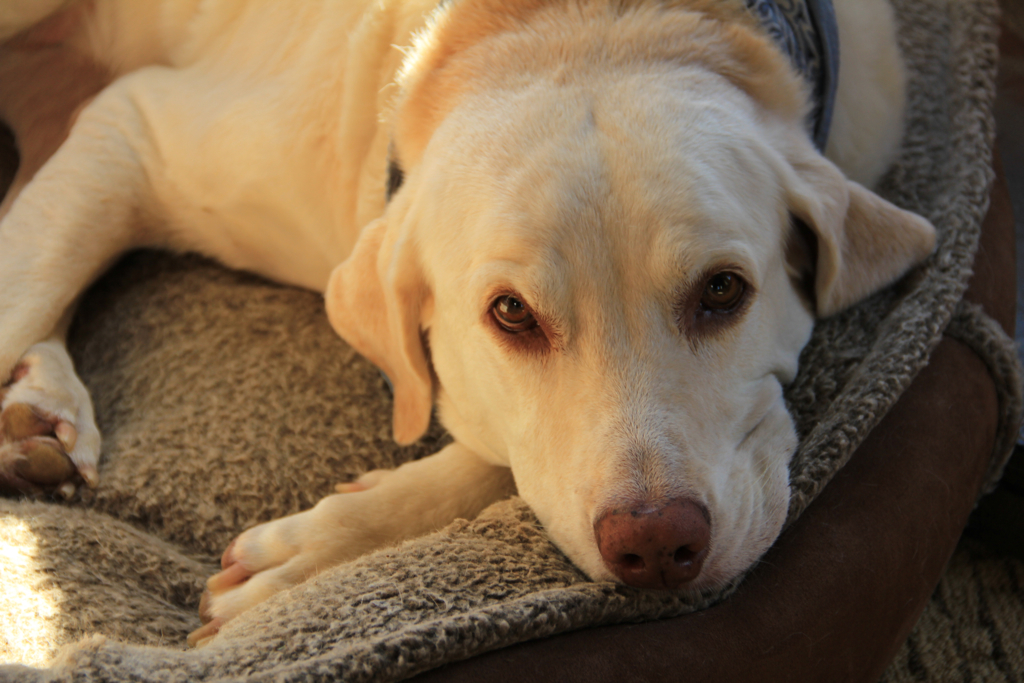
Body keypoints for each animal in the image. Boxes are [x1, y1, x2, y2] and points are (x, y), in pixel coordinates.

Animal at [0, 0, 933, 647]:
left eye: (723, 291)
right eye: (512, 313)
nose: (658, 542)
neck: (587, 26)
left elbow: (494, 452)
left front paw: (314, 555)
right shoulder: (141, 126)